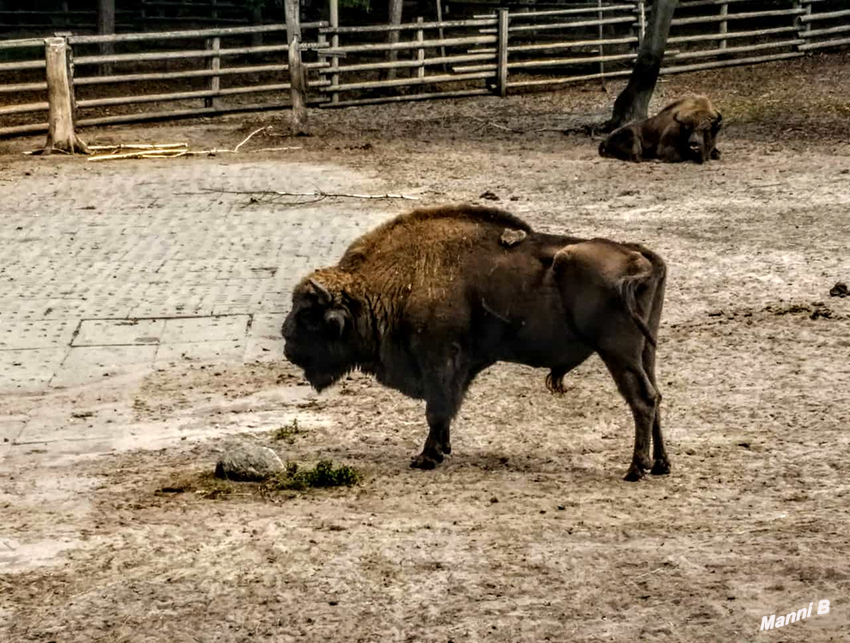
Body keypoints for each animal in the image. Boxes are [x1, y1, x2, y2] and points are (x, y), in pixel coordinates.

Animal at [284, 206, 668, 484]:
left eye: (308, 314)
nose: (286, 342)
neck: (395, 281)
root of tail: (639, 257)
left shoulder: (439, 360)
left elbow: (437, 409)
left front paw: (426, 457)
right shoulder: (459, 367)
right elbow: (446, 410)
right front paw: (442, 449)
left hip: (618, 351)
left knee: (642, 400)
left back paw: (635, 469)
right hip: (645, 350)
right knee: (656, 396)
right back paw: (661, 465)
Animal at [596, 93, 724, 165]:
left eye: (706, 129)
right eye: (688, 129)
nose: (694, 144)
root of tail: (606, 140)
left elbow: (718, 154)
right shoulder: (665, 148)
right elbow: (677, 157)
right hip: (633, 138)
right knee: (637, 157)